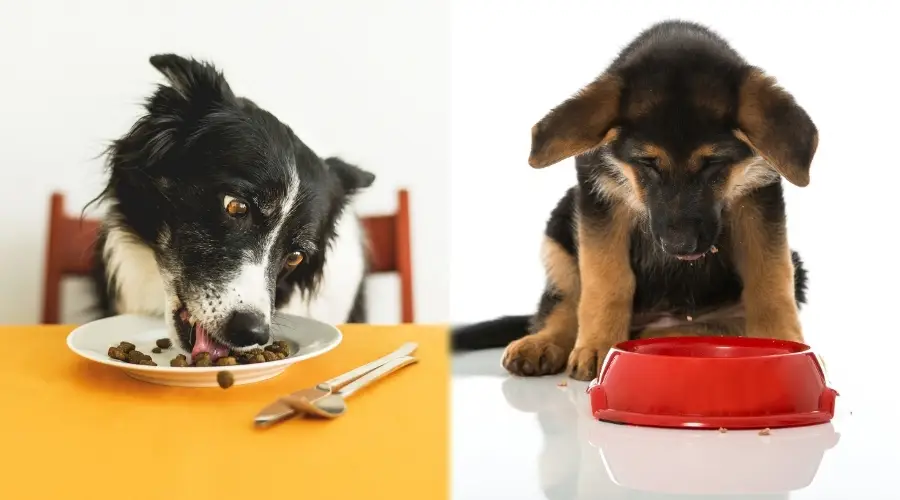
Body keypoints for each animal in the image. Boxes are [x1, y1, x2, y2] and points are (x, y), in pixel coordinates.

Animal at [450, 18, 816, 378]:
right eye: (647, 163)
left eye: (714, 163)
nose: (680, 246)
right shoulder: (598, 198)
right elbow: (606, 279)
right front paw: (598, 346)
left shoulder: (758, 198)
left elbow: (770, 281)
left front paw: (784, 344)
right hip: (560, 228)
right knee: (564, 303)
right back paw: (544, 342)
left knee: (708, 327)